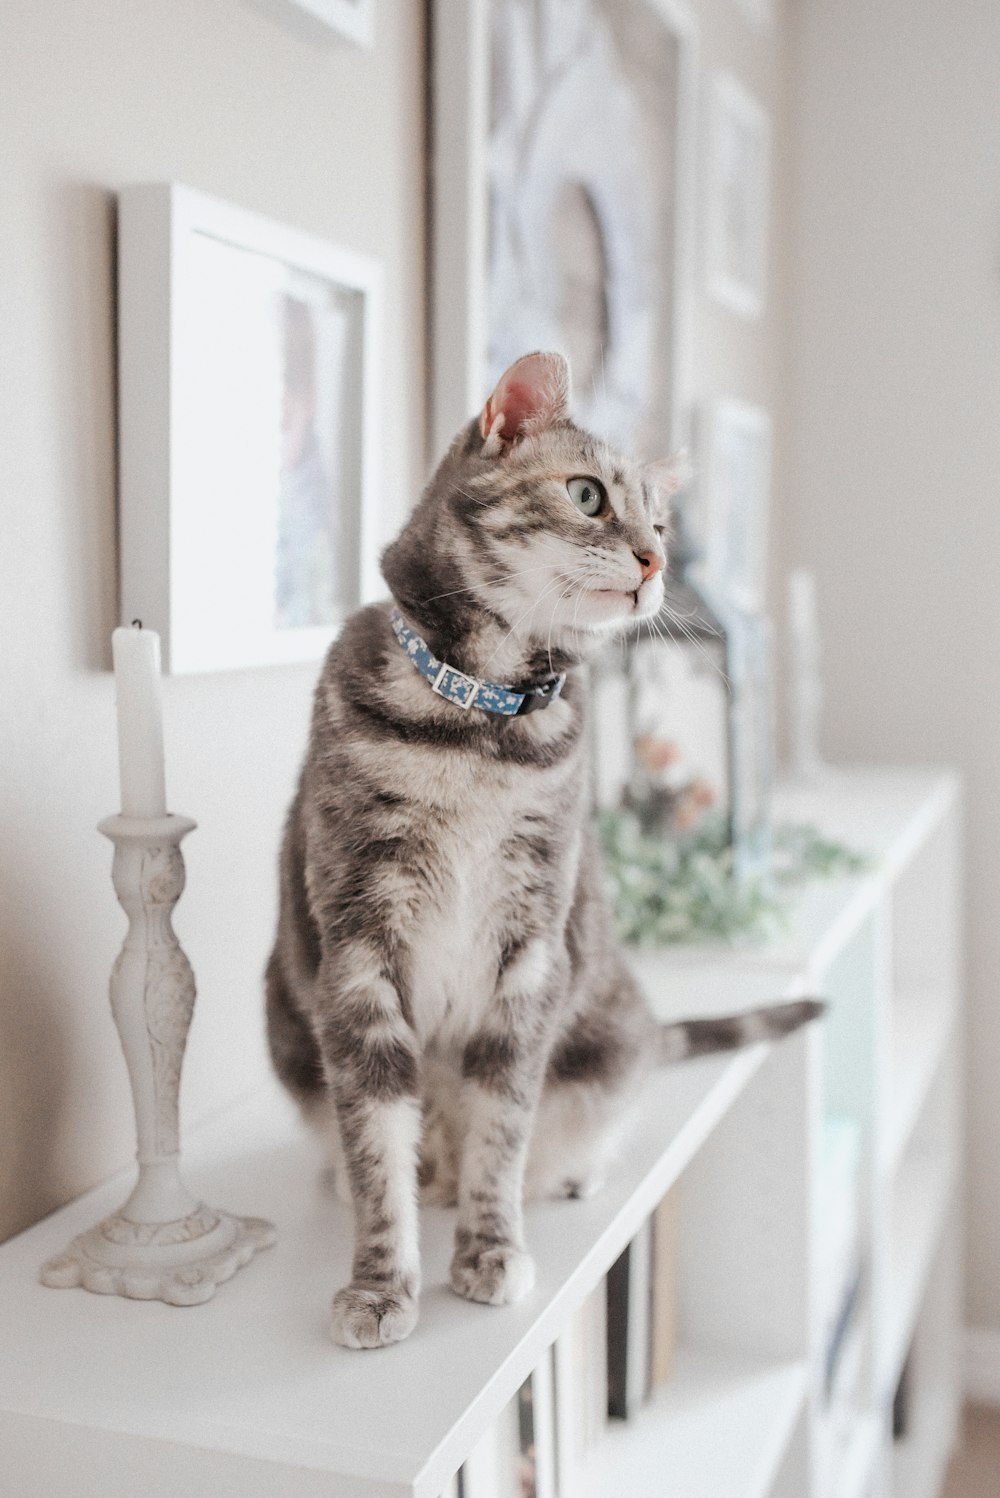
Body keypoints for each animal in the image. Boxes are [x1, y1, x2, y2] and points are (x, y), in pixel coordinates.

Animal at [264, 356, 820, 1354]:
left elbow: (503, 1123)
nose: (656, 561)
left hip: (604, 1038)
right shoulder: (358, 952)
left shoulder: (531, 950)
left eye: (661, 523)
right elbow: (376, 1147)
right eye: (588, 495)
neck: (475, 727)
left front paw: (492, 1246)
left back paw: (564, 1172)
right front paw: (380, 1284)